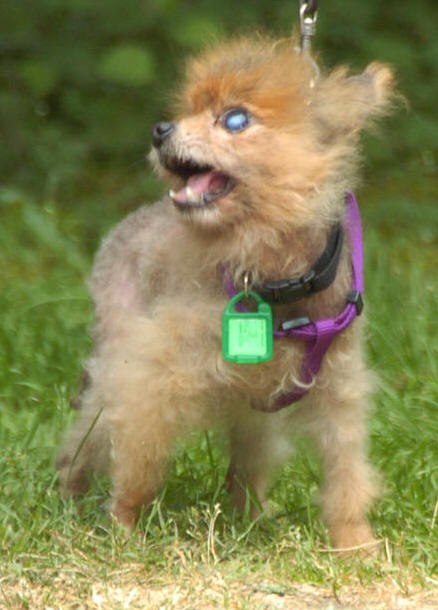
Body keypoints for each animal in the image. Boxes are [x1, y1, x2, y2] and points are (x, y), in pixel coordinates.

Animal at [57, 34, 394, 550]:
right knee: (85, 436)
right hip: (115, 364)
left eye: (235, 120)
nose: (160, 129)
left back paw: (251, 517)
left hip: (253, 413)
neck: (270, 278)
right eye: (190, 109)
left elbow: (346, 474)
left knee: (247, 468)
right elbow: (137, 462)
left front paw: (356, 544)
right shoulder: (154, 379)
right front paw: (124, 528)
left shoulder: (337, 389)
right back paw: (68, 494)